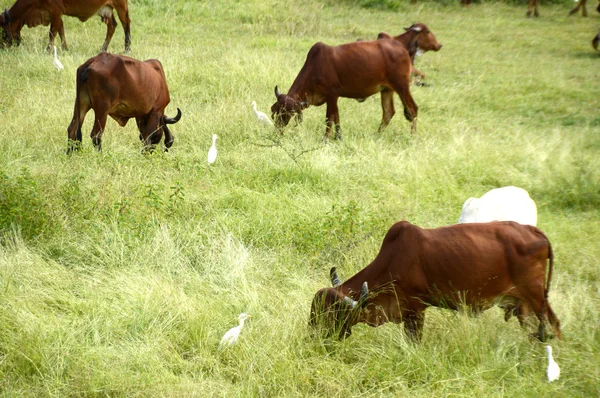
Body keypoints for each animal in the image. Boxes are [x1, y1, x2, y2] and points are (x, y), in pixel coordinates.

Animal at [0, 0, 131, 52]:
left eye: (2, 31)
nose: (2, 47)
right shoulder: (55, 14)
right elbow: (61, 31)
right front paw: (65, 48)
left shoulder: (56, 11)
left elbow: (52, 33)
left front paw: (48, 50)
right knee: (112, 26)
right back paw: (103, 49)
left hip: (121, 5)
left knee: (126, 24)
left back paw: (127, 49)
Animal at [272, 38, 418, 139]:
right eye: (277, 110)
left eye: (287, 112)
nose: (277, 128)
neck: (316, 65)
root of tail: (403, 49)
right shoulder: (334, 97)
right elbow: (336, 117)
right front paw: (338, 137)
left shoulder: (331, 94)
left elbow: (329, 118)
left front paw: (325, 139)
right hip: (386, 90)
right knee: (388, 112)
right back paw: (376, 135)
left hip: (402, 86)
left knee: (412, 109)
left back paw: (413, 137)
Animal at [310, 221, 564, 342]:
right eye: (314, 311)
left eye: (331, 314)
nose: (312, 339)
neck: (392, 260)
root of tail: (533, 231)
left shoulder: (416, 310)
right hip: (523, 306)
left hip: (536, 296)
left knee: (555, 324)